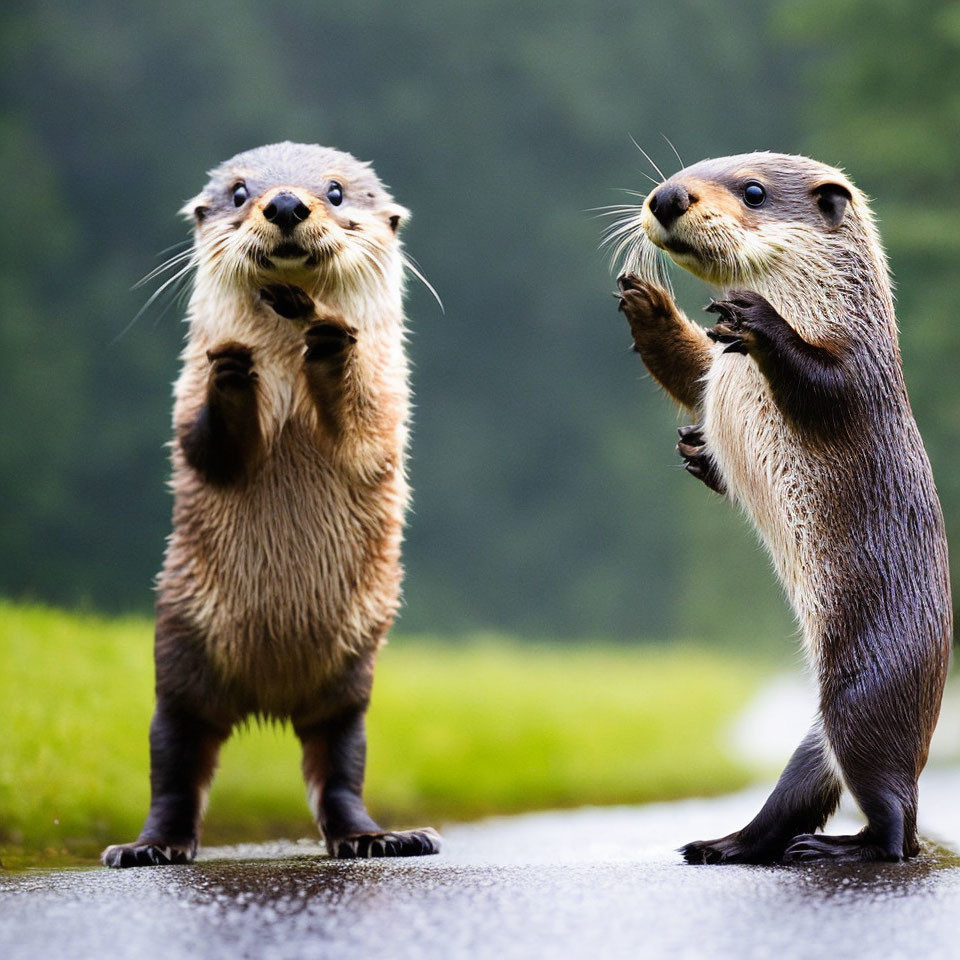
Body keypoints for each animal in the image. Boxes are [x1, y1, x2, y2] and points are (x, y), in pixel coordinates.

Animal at [101, 142, 438, 872]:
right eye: (237, 192)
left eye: (336, 192)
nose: (285, 202)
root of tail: (273, 694)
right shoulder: (187, 405)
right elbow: (206, 447)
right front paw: (233, 367)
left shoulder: (385, 405)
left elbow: (361, 427)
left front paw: (329, 339)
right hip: (180, 653)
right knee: (174, 759)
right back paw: (150, 847)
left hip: (351, 682)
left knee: (339, 766)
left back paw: (377, 838)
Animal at [616, 152, 952, 864]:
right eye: (690, 168)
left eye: (752, 191)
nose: (667, 197)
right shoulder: (715, 370)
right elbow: (693, 369)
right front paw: (649, 308)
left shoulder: (859, 374)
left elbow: (818, 379)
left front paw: (758, 314)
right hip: (815, 738)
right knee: (796, 795)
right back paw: (724, 843)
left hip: (863, 698)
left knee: (899, 823)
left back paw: (839, 850)